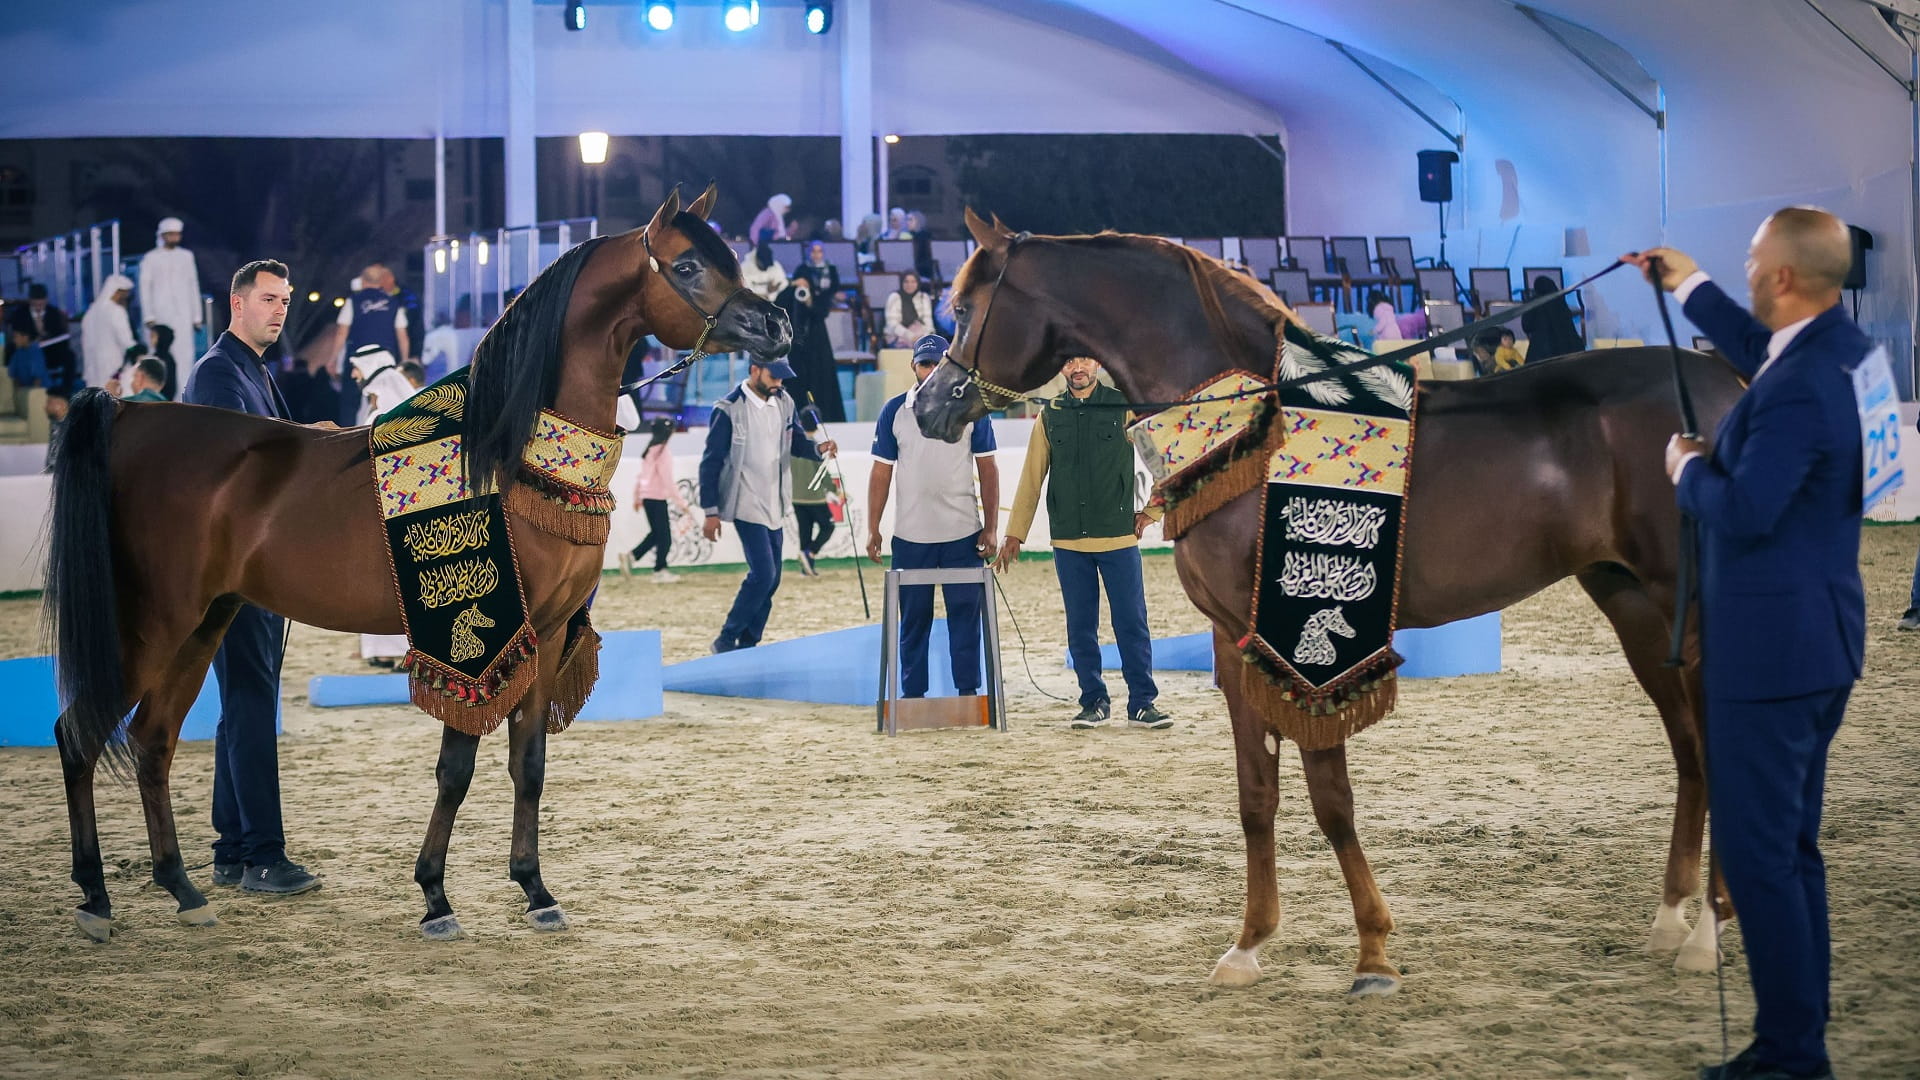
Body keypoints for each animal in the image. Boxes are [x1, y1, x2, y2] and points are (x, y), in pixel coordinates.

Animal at [48, 187, 791, 941]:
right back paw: (94, 899)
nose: (778, 324)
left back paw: (183, 887)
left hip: (205, 624)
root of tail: (131, 419)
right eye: (689, 264)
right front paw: (436, 896)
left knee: (152, 741)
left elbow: (528, 763)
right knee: (79, 735)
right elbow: (455, 769)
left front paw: (535, 890)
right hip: (152, 625)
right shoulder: (475, 645)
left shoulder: (544, 635)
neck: (511, 454)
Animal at [913, 208, 1743, 991]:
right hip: (1633, 606)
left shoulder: (1305, 651)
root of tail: (1726, 385)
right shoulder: (1238, 645)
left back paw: (1706, 935)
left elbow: (1330, 798)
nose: (928, 407)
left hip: (1692, 612)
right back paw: (1673, 918)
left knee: (1717, 746)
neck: (1251, 424)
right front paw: (1248, 946)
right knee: (1690, 753)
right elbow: (1256, 796)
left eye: (964, 306)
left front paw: (1373, 953)